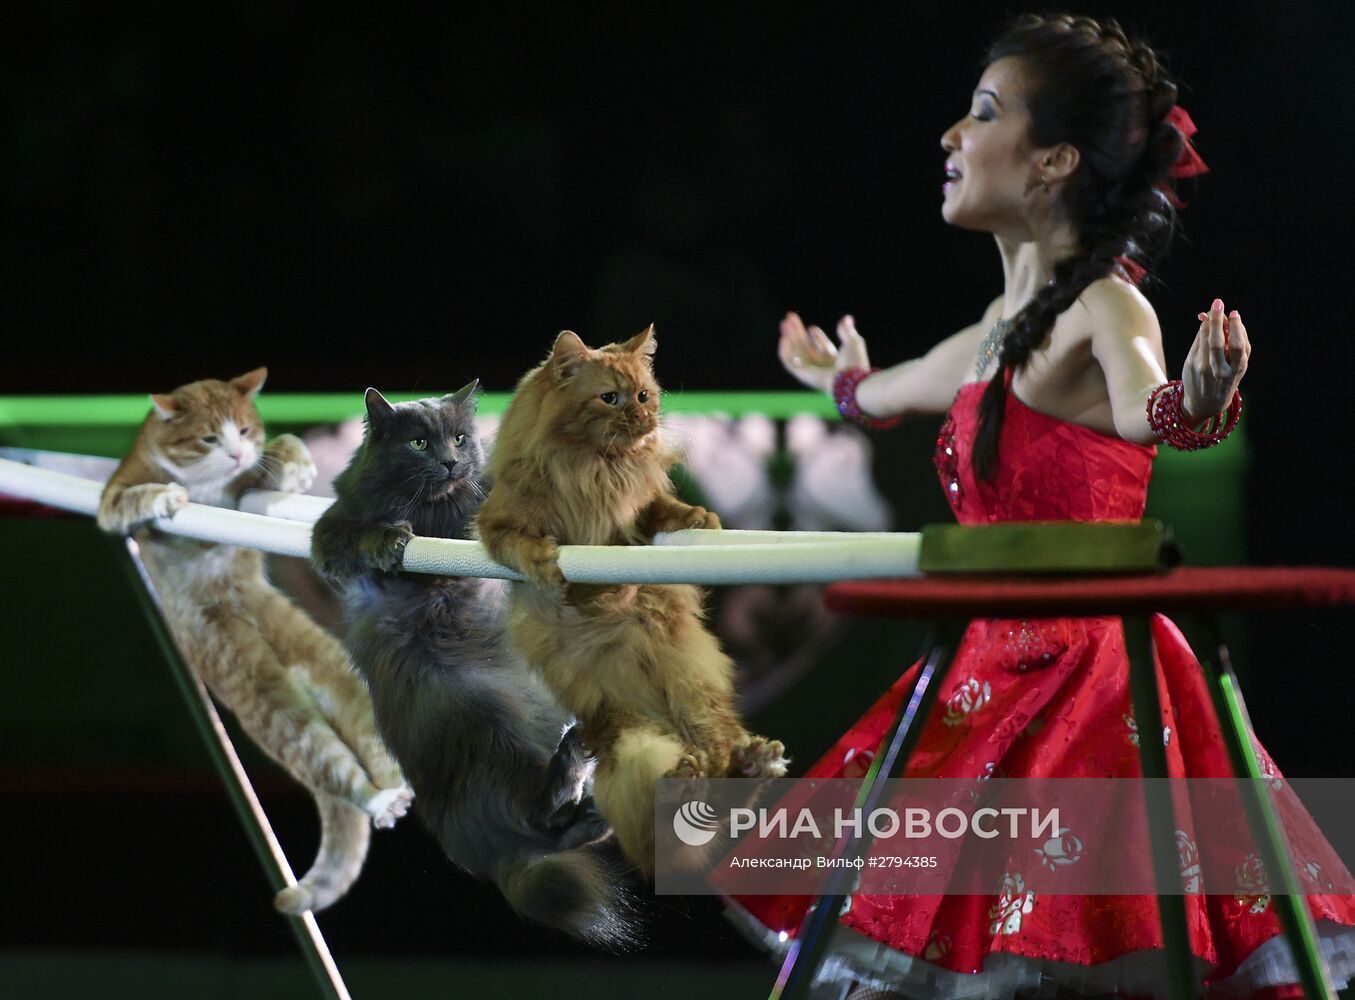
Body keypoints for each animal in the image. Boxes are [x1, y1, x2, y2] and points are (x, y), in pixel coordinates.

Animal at [96, 368, 411, 910]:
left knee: (361, 725)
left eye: (244, 431)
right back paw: (381, 801)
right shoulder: (115, 493)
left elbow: (279, 453)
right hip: (264, 696)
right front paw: (165, 496)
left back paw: (395, 788)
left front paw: (295, 463)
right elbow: (133, 497)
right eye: (208, 438)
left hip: (320, 659)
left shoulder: (247, 480)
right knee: (327, 761)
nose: (237, 453)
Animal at [310, 379, 631, 943]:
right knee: (539, 815)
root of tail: (500, 861)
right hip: (487, 720)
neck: (436, 510)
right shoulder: (331, 530)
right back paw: (574, 765)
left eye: (460, 438)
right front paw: (389, 539)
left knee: (550, 824)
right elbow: (357, 534)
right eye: (418, 444)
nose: (449, 462)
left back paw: (584, 784)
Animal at [479, 329, 791, 872]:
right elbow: (530, 551)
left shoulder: (635, 509)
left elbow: (659, 510)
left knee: (717, 785)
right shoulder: (500, 522)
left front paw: (698, 517)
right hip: (633, 742)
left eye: (644, 395)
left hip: (693, 697)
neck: (596, 468)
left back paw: (750, 765)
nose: (644, 417)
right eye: (611, 398)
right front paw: (548, 562)